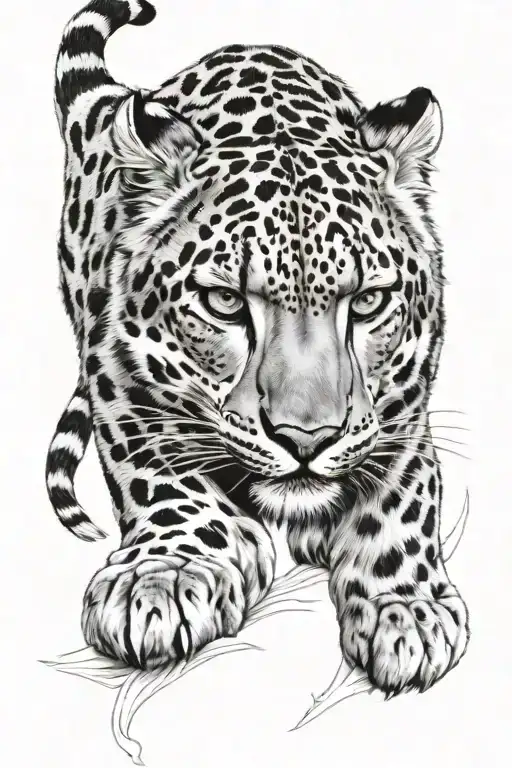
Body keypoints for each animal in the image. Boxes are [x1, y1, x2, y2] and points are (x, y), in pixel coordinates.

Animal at [46, 0, 469, 697]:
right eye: (224, 303)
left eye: (367, 303)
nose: (307, 440)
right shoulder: (119, 379)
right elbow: (160, 473)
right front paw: (160, 577)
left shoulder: (405, 408)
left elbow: (402, 497)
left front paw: (404, 607)